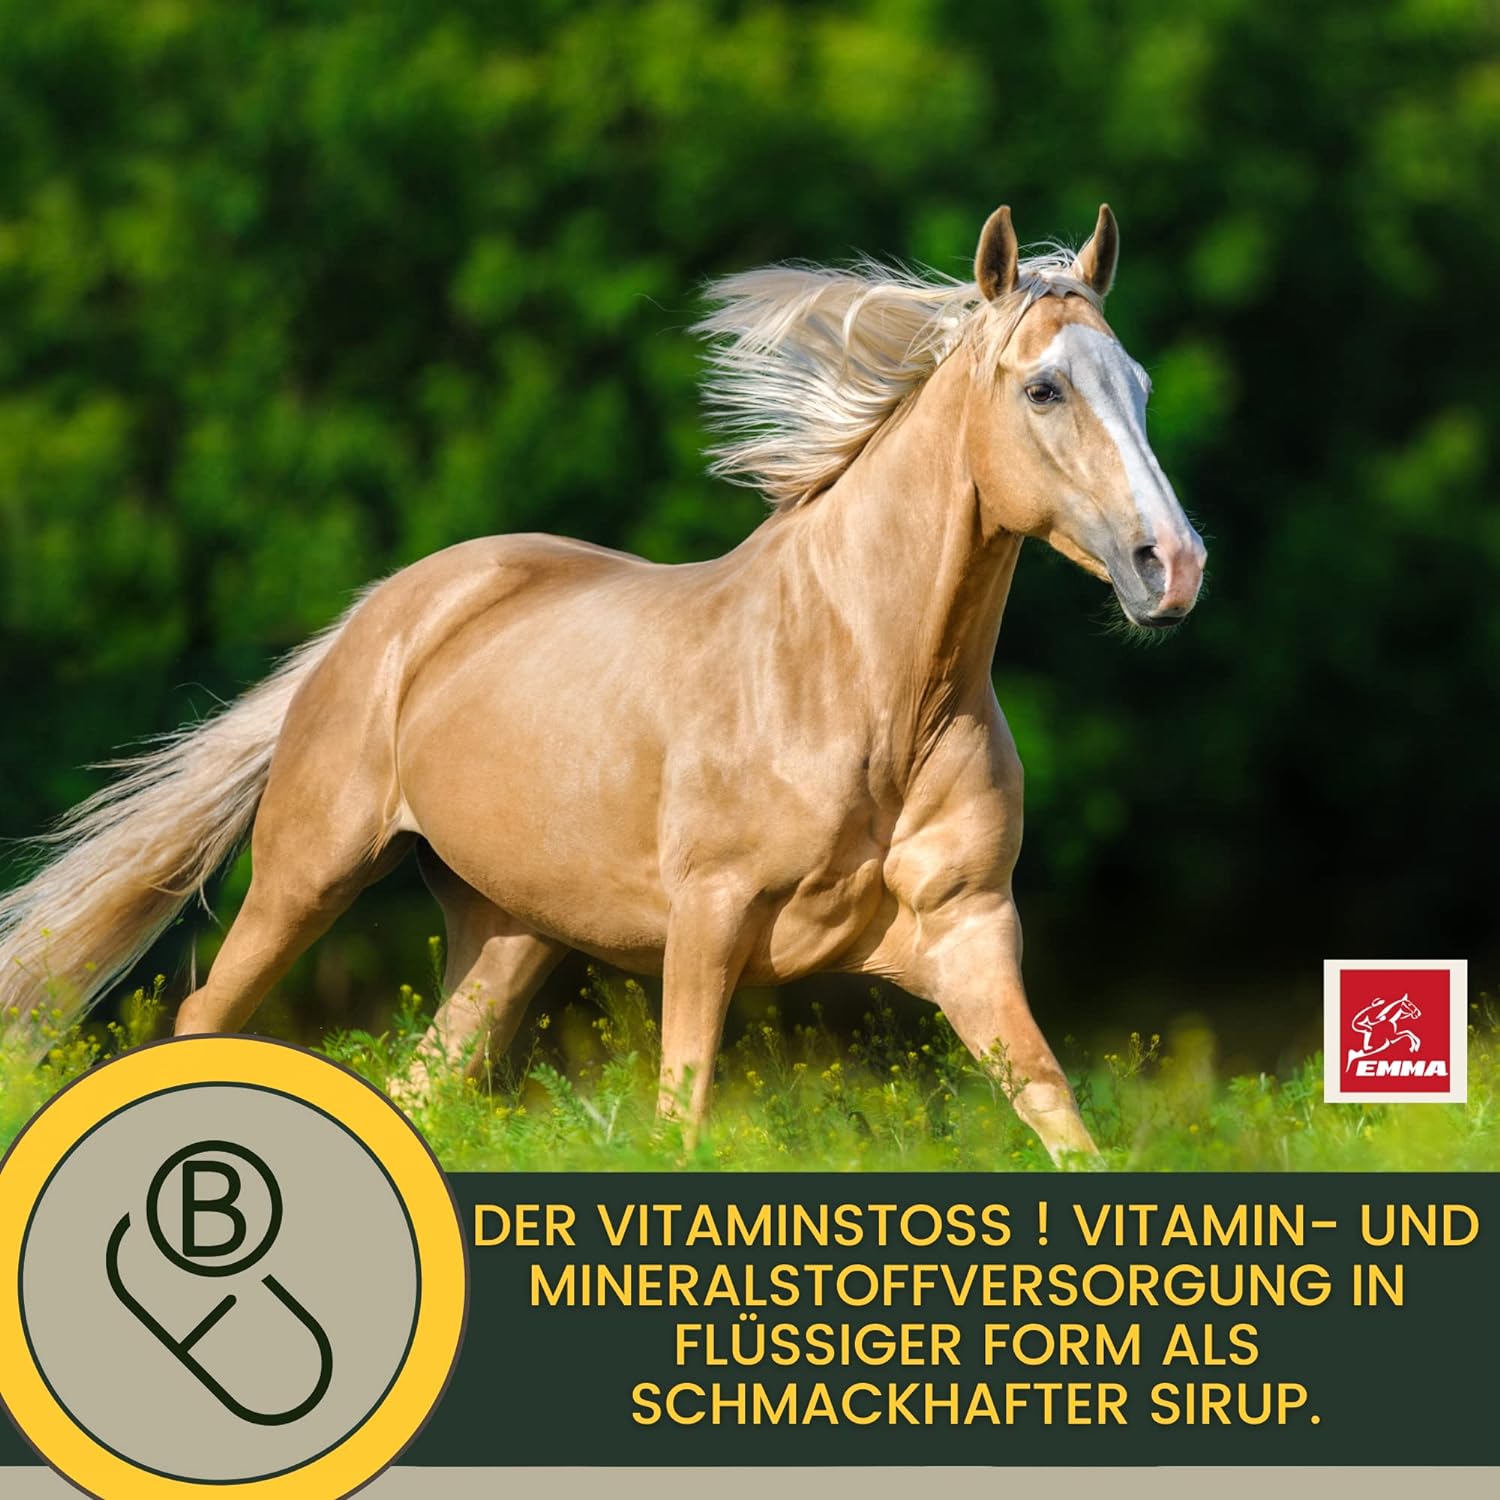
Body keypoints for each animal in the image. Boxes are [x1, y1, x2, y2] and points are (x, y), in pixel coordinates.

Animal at [0, 204, 1205, 1163]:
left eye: (1142, 385)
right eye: (1044, 388)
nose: (1173, 566)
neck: (867, 692)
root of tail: (384, 612)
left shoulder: (969, 931)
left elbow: (1058, 1115)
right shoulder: (710, 921)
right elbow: (683, 1119)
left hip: (507, 932)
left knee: (423, 1083)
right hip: (308, 871)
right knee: (206, 1016)